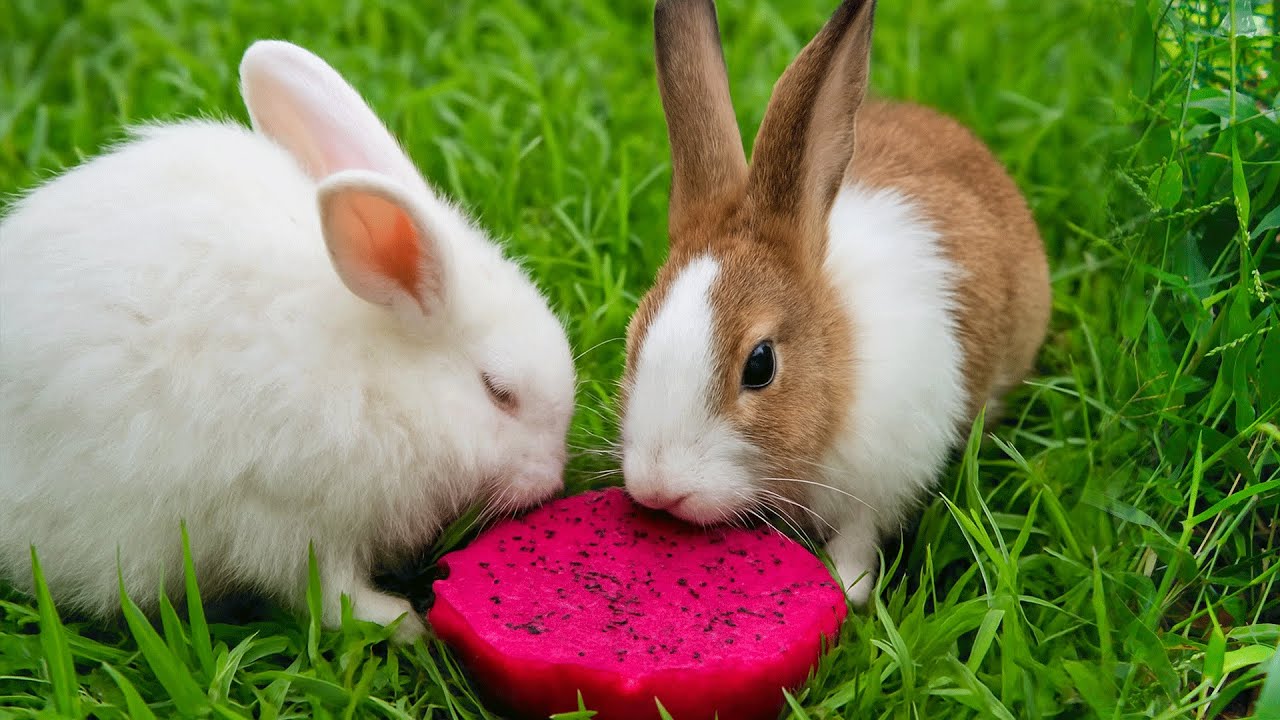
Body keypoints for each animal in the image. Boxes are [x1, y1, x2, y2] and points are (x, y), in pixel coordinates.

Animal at [0, 40, 576, 642]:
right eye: (498, 391)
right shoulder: (290, 519)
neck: (380, 380)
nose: (553, 480)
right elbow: (329, 593)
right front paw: (402, 623)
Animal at [619, 0, 1051, 605]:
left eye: (760, 365)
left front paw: (846, 591)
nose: (660, 488)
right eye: (634, 339)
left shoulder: (879, 485)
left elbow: (858, 543)